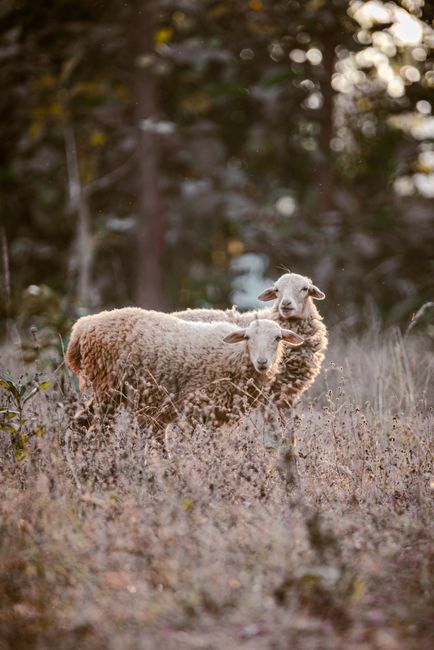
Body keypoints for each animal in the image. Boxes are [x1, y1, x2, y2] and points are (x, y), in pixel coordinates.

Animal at [65, 307, 304, 433]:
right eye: (248, 338)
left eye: (277, 338)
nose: (263, 362)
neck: (235, 354)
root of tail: (83, 325)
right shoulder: (198, 408)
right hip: (107, 388)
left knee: (80, 424)